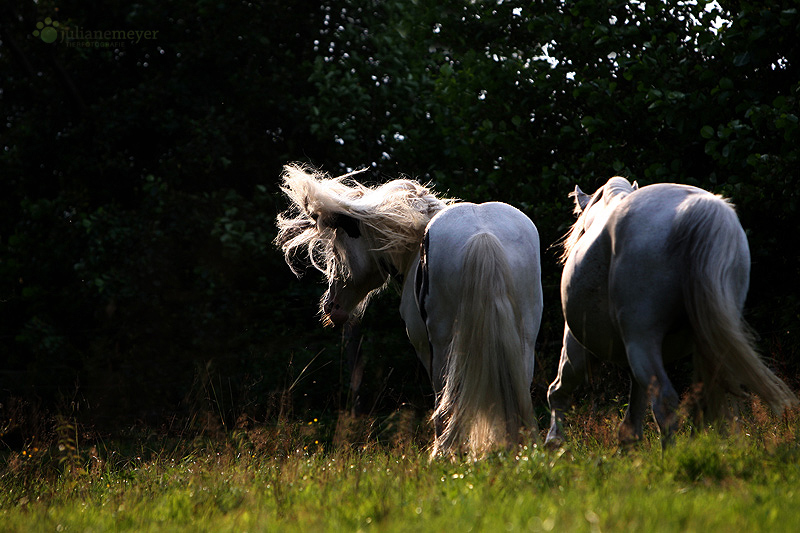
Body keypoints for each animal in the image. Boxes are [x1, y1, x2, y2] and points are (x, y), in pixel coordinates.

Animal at [276, 163, 544, 458]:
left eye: (336, 250)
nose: (331, 307)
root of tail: (483, 236)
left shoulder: (423, 346)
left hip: (443, 345)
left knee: (447, 399)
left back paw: (444, 452)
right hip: (524, 341)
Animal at [548, 177, 796, 446]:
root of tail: (696, 211)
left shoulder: (577, 345)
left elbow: (558, 391)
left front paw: (553, 445)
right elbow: (632, 421)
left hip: (641, 342)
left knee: (665, 402)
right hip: (706, 345)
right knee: (712, 400)